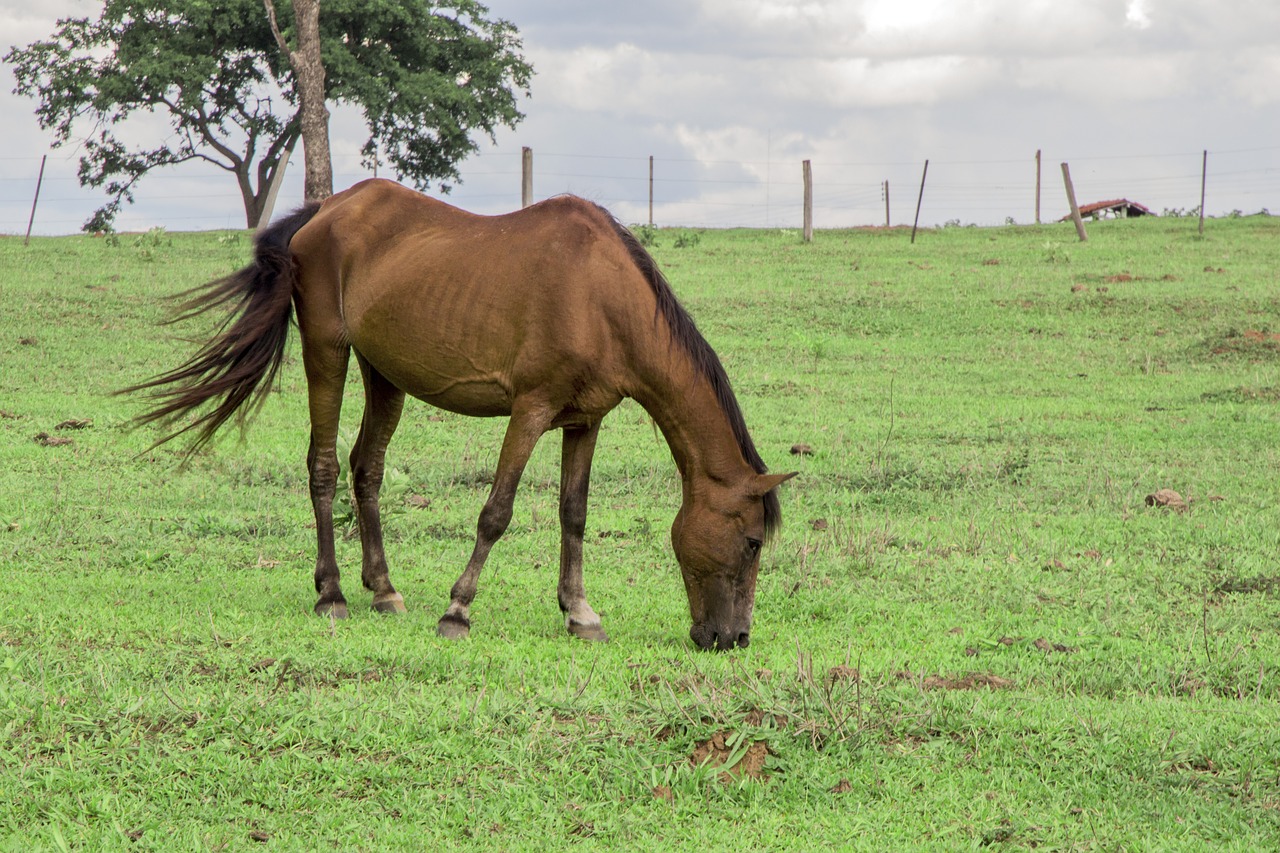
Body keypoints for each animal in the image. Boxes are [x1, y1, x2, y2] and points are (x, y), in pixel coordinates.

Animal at [127, 178, 788, 645]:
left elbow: (573, 514)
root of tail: (324, 211)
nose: (732, 638)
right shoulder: (531, 410)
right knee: (323, 467)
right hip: (326, 350)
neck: (600, 296)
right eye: (753, 542)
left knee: (367, 468)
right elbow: (496, 512)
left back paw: (384, 590)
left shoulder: (584, 420)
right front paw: (457, 610)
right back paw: (332, 594)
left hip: (384, 374)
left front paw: (579, 612)